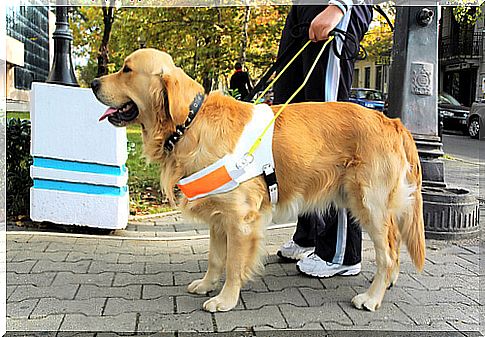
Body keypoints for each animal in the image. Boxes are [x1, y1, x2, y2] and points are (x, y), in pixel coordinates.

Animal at [91, 48, 424, 312]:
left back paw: (372, 297)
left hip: (370, 204)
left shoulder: (241, 219)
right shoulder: (218, 215)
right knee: (393, 248)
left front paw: (225, 299)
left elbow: (234, 264)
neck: (190, 124)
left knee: (388, 254)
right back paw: (387, 284)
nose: (93, 82)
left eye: (127, 69)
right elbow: (215, 258)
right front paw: (206, 284)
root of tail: (391, 121)